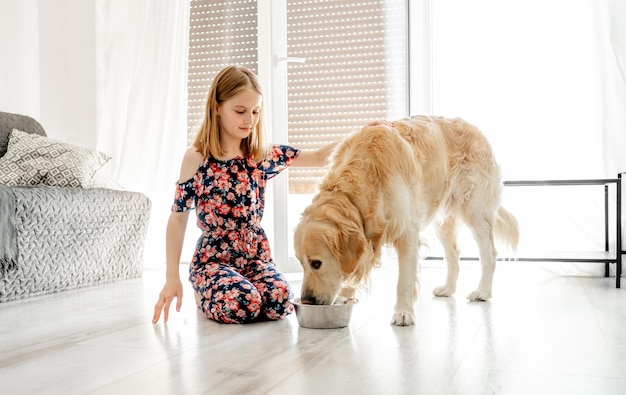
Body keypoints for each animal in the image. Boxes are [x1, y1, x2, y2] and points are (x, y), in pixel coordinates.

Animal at [292, 116, 516, 326]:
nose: (307, 300)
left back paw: (482, 291)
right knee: (454, 253)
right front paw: (344, 296)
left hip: (476, 210)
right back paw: (448, 288)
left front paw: (403, 312)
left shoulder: (407, 231)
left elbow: (404, 280)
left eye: (316, 264)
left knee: (489, 254)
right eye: (300, 263)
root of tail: (474, 128)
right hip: (441, 220)